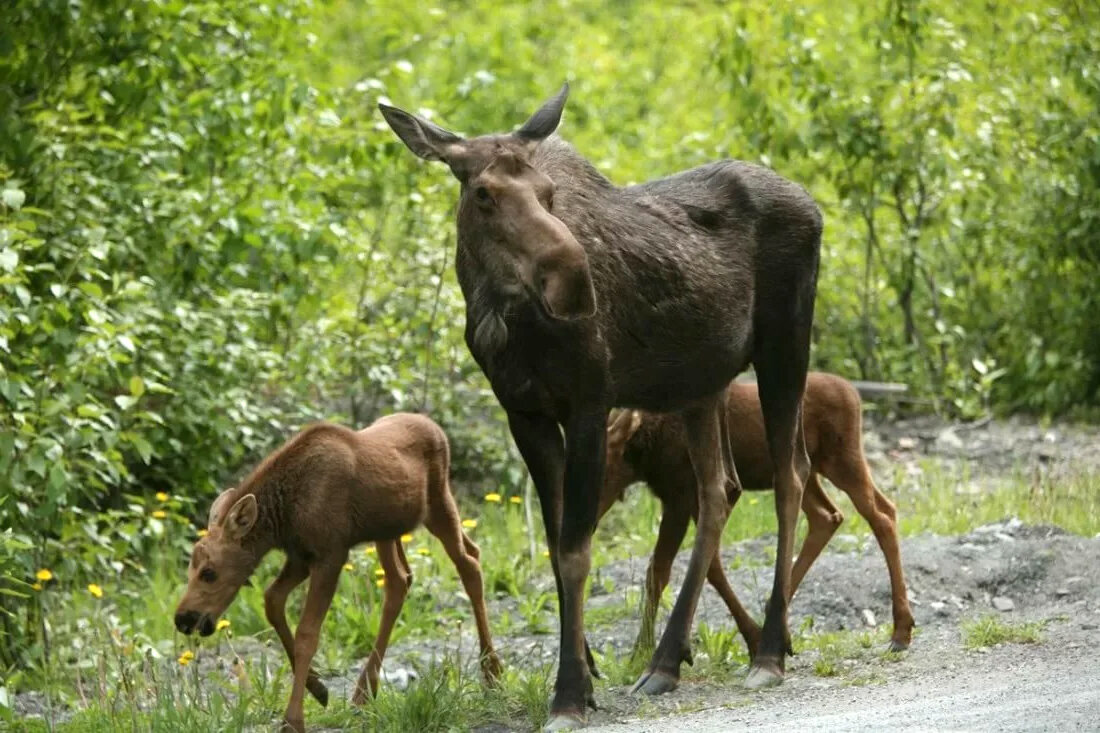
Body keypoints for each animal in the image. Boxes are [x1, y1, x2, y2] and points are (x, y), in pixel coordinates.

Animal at [171, 413, 503, 726]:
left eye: (209, 572)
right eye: (189, 570)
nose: (183, 619)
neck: (282, 519)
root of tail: (436, 428)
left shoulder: (330, 554)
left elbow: (307, 633)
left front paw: (293, 719)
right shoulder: (301, 557)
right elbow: (272, 601)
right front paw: (318, 688)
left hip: (438, 504)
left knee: (468, 563)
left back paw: (492, 672)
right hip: (388, 530)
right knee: (406, 578)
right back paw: (365, 691)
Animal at [382, 84, 822, 726]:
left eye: (548, 193)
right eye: (484, 194)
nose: (574, 282)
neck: (503, 319)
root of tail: (814, 206)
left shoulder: (590, 403)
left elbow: (574, 549)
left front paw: (569, 691)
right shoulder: (526, 414)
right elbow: (555, 538)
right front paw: (585, 673)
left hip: (784, 346)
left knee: (791, 476)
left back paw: (768, 650)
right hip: (702, 385)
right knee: (720, 490)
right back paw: (667, 660)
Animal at [598, 372, 915, 655]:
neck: (643, 449)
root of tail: (854, 394)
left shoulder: (684, 496)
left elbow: (665, 569)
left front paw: (641, 651)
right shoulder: (689, 499)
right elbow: (702, 565)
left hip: (841, 459)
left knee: (881, 515)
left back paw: (900, 630)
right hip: (808, 472)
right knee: (831, 516)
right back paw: (776, 618)